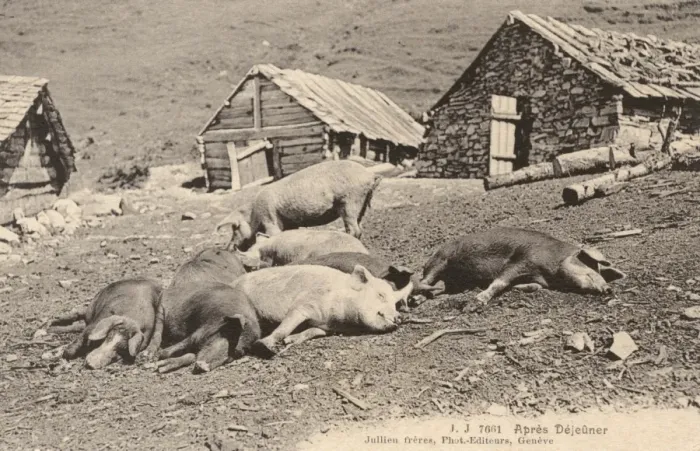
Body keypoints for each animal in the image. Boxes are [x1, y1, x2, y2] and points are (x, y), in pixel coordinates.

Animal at [216, 160, 382, 251]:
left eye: (235, 228)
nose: (228, 248)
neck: (253, 215)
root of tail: (369, 174)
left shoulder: (269, 218)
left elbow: (274, 235)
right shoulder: (290, 223)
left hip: (350, 201)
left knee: (354, 229)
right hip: (361, 204)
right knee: (357, 228)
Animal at [230, 264, 409, 357]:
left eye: (395, 303)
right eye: (381, 295)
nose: (399, 317)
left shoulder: (325, 327)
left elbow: (311, 332)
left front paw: (290, 340)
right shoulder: (303, 304)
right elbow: (285, 326)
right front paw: (265, 347)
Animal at [420, 227, 626, 308]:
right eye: (592, 270)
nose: (609, 288)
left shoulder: (535, 277)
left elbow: (534, 286)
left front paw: (519, 287)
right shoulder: (520, 260)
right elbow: (499, 282)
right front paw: (478, 300)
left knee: (438, 288)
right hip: (440, 260)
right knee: (425, 280)